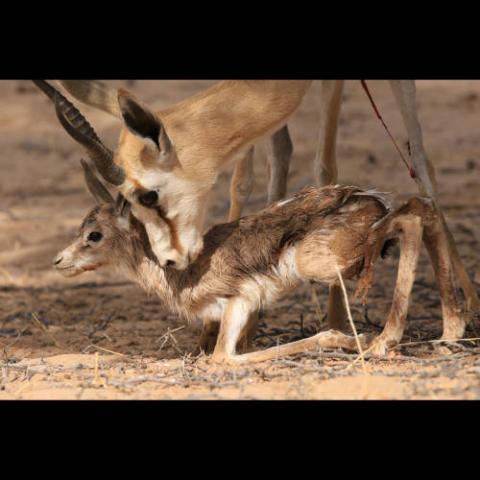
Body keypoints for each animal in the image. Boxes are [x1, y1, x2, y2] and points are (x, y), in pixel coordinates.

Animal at [53, 159, 464, 362]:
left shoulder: (238, 304)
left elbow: (222, 358)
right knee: (422, 205)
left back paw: (383, 341)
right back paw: (450, 332)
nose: (58, 261)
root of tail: (366, 197)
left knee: (411, 218)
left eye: (93, 235)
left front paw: (349, 339)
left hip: (326, 264)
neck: (177, 275)